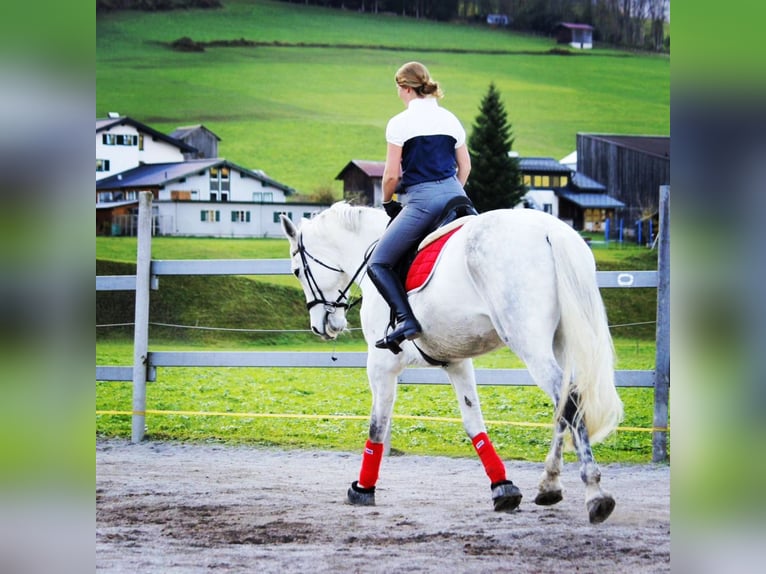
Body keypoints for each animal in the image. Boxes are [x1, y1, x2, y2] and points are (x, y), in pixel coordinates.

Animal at [280, 202, 623, 524]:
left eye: (297, 271)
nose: (322, 326)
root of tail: (552, 231)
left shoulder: (381, 364)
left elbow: (377, 426)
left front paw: (363, 489)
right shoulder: (456, 362)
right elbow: (474, 424)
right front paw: (502, 488)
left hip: (530, 343)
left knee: (570, 401)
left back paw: (595, 493)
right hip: (562, 343)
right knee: (564, 403)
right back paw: (549, 485)